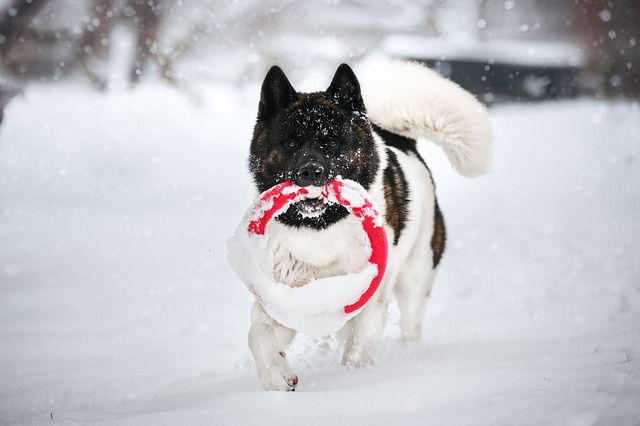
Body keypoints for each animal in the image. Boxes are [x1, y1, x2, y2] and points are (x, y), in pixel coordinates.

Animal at [246, 61, 496, 392]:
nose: (311, 171)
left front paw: (355, 383)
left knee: (412, 321)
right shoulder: (283, 296)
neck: (321, 229)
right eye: (290, 143)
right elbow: (258, 332)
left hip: (415, 276)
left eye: (332, 143)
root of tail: (402, 140)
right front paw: (275, 375)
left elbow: (357, 353)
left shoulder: (370, 304)